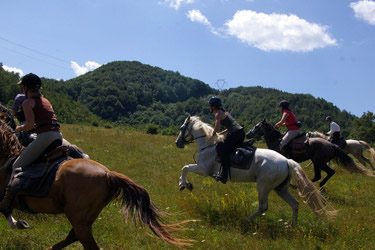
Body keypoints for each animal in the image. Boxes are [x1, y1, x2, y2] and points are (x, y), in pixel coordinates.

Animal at [0, 120, 192, 249]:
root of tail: (108, 174)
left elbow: (5, 209)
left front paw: (16, 223)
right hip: (84, 217)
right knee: (73, 237)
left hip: (78, 218)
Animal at [176, 116, 338, 226]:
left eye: (181, 128)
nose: (177, 143)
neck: (209, 144)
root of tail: (286, 161)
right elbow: (185, 168)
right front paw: (186, 184)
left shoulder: (203, 169)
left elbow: (185, 168)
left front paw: (184, 184)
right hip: (280, 188)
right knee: (295, 204)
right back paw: (292, 225)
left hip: (264, 186)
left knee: (263, 207)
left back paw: (245, 220)